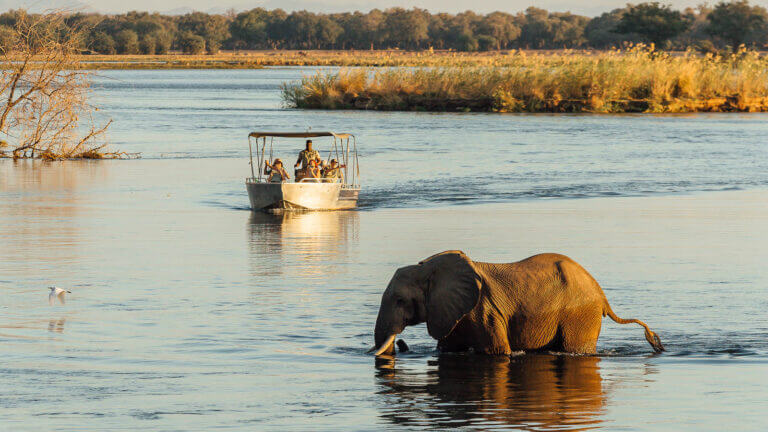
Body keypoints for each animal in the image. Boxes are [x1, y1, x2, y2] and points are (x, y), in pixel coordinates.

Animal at [371, 251, 664, 356]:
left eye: (400, 300)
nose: (399, 342)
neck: (428, 266)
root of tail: (602, 296)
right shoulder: (454, 313)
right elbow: (447, 349)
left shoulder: (483, 311)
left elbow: (498, 352)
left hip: (580, 314)